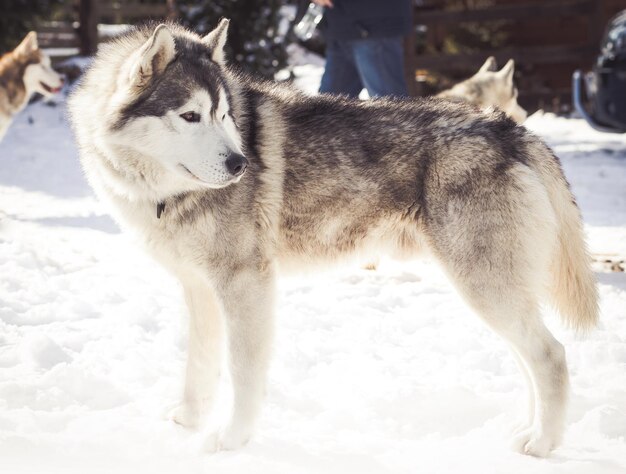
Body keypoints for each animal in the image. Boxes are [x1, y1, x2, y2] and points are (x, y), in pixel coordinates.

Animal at [68, 20, 596, 458]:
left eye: (223, 115)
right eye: (191, 116)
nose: (241, 164)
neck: (164, 193)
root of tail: (512, 131)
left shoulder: (245, 286)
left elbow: (242, 371)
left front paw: (232, 440)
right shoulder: (198, 288)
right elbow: (198, 367)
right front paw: (188, 423)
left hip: (484, 287)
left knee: (552, 356)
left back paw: (543, 445)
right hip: (494, 292)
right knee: (529, 360)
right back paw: (525, 433)